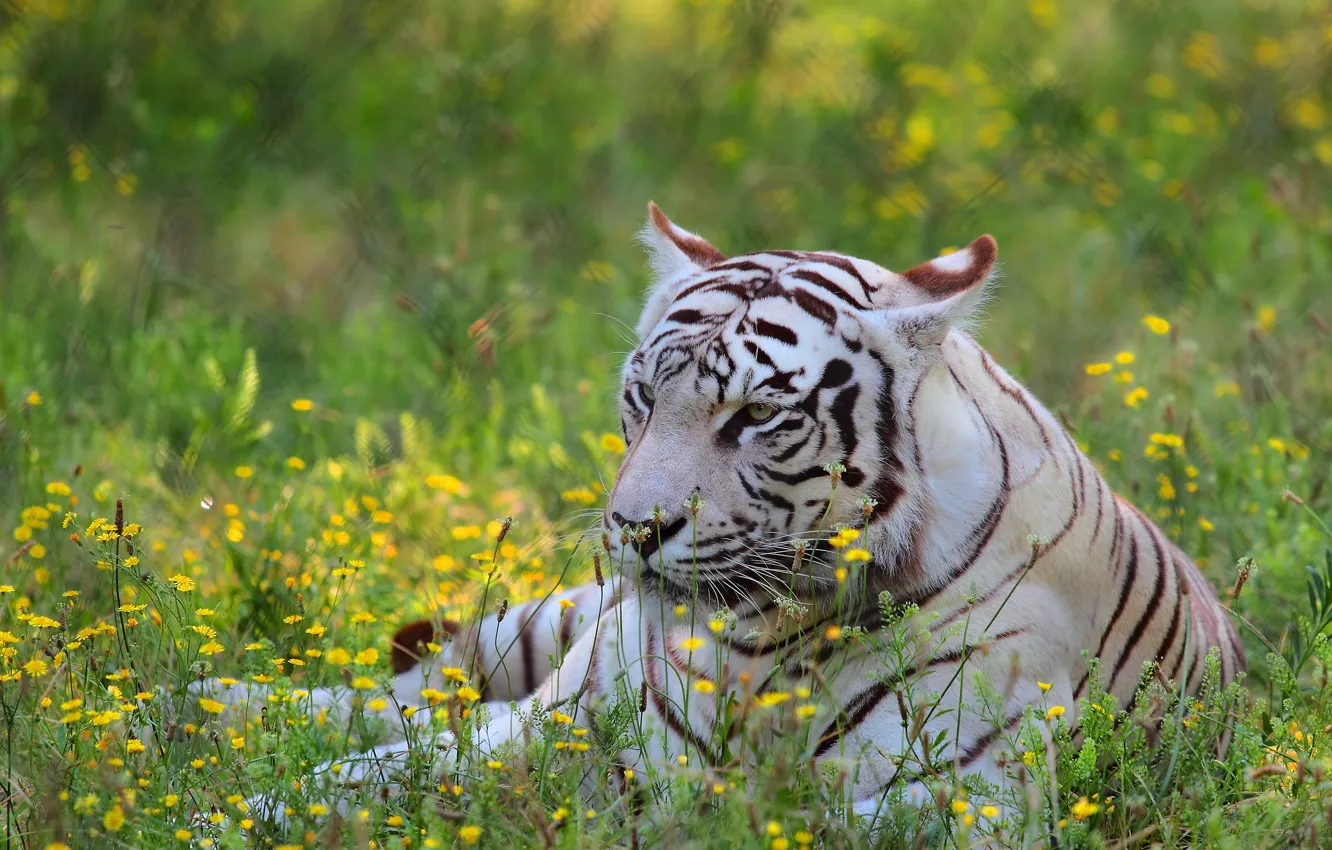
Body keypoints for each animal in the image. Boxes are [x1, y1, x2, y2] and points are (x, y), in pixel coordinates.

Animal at [195, 203, 1245, 827]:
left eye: (755, 416)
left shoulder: (953, 800)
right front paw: (222, 815)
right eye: (642, 398)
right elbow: (346, 784)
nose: (634, 529)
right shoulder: (566, 732)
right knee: (407, 701)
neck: (765, 642)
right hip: (553, 642)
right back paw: (198, 708)